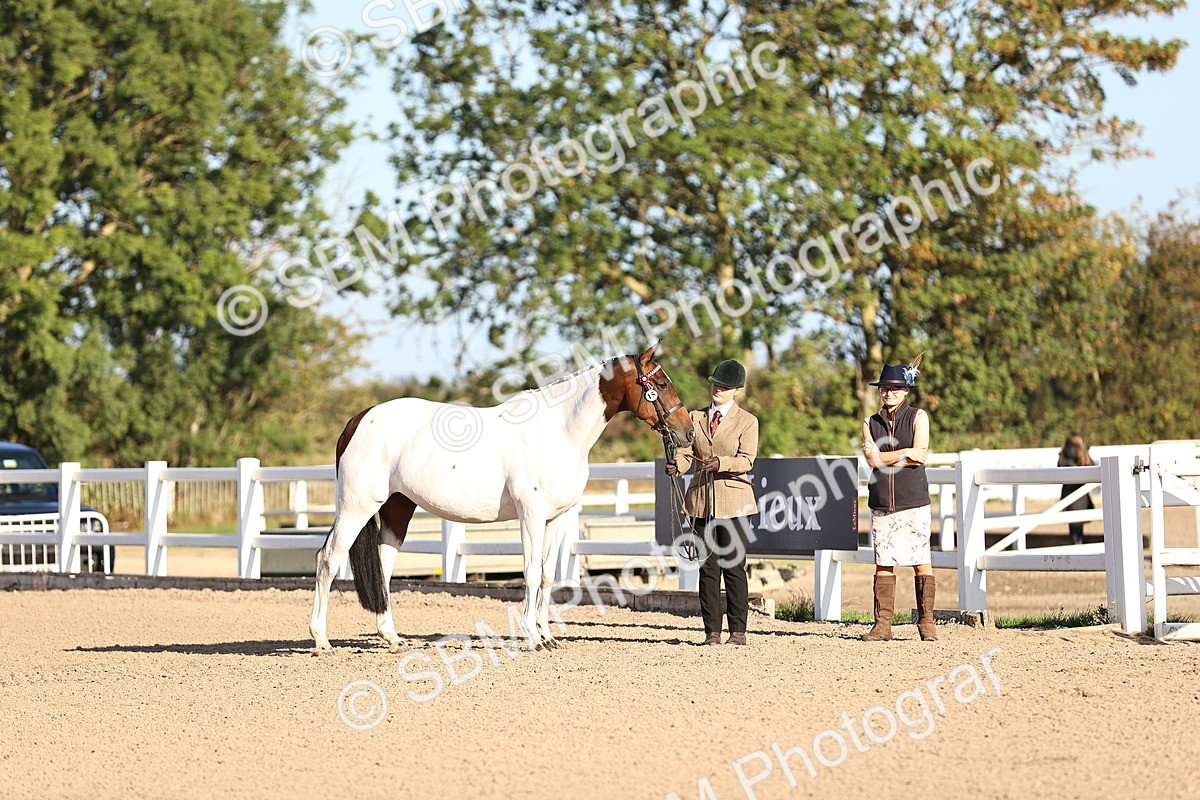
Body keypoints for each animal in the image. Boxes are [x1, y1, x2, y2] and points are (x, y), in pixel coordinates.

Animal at [309, 343, 694, 653]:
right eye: (661, 385)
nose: (688, 431)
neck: (558, 433)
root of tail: (358, 420)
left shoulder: (559, 518)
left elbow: (548, 575)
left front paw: (547, 635)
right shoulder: (531, 515)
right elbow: (531, 574)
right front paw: (531, 637)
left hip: (396, 508)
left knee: (384, 565)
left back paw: (391, 637)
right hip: (356, 506)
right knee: (328, 559)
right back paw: (321, 640)